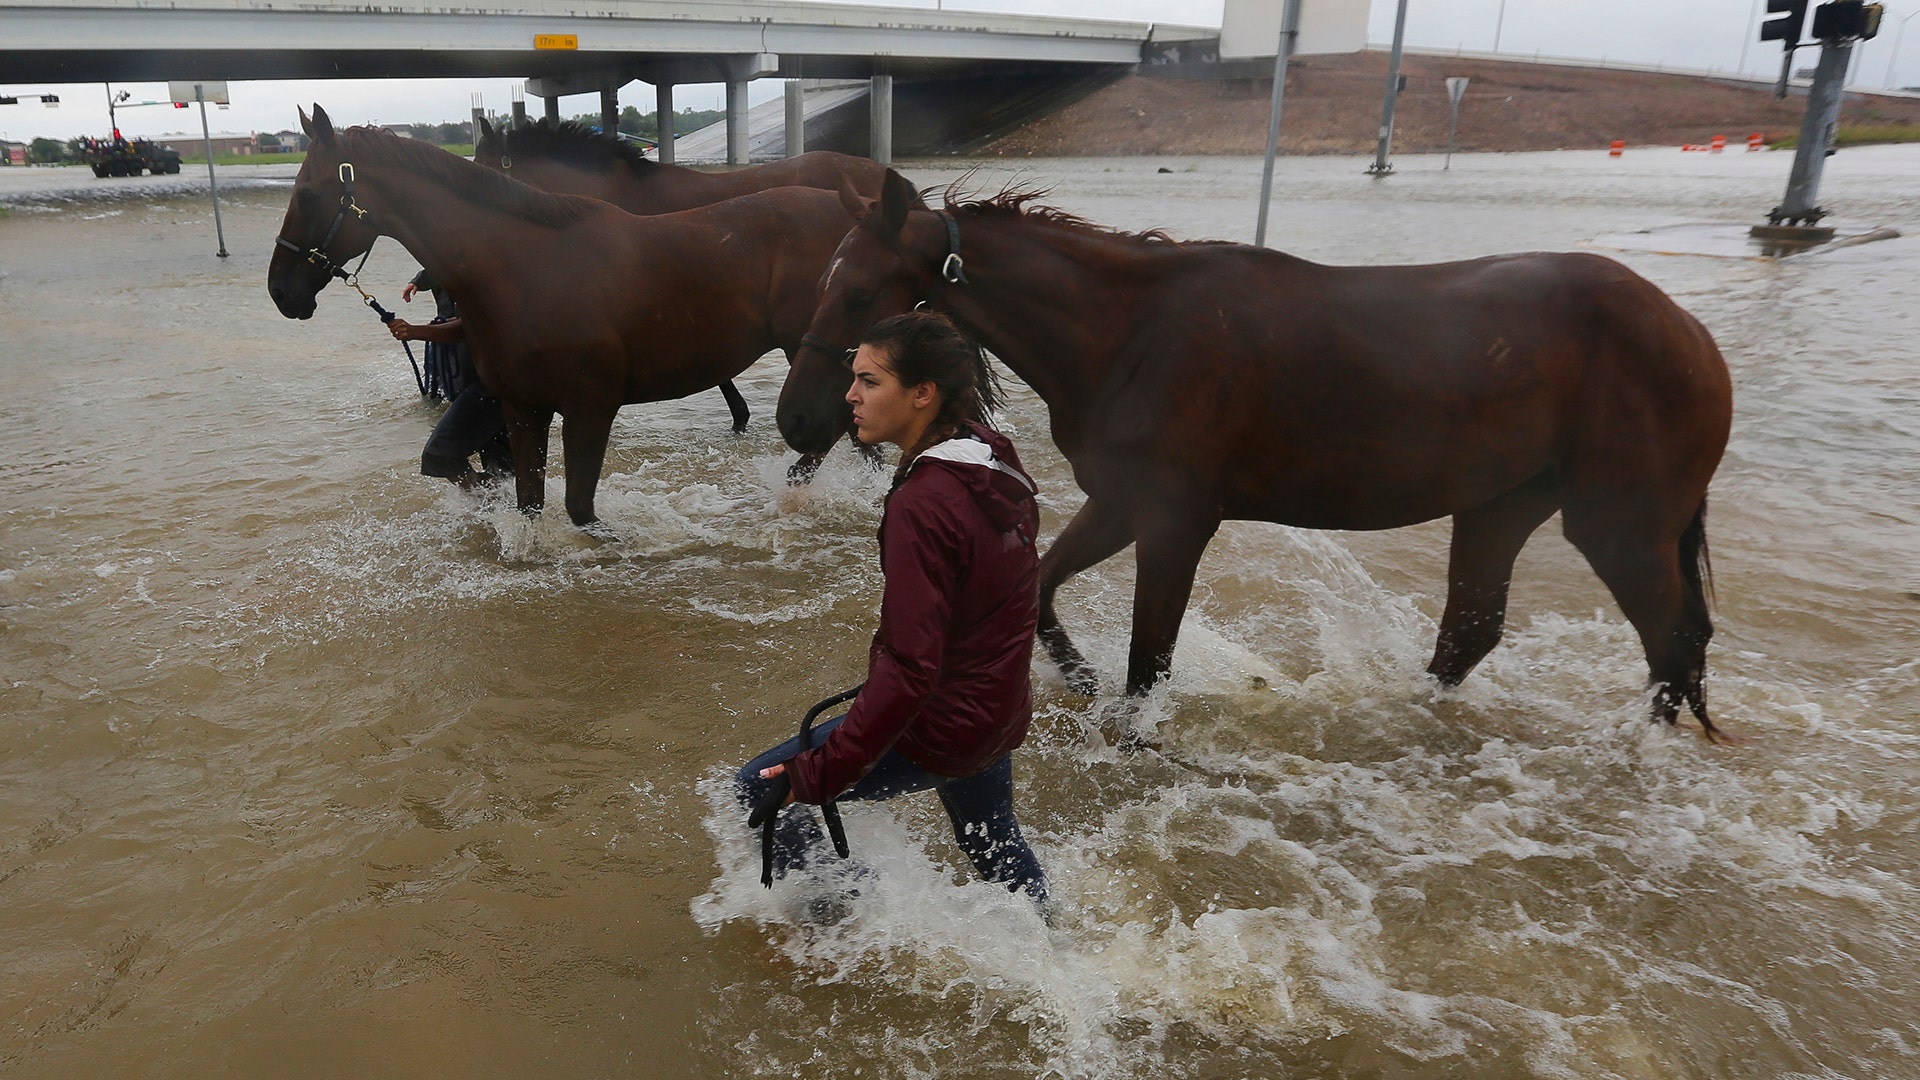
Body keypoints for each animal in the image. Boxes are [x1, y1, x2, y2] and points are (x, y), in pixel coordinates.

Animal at [267, 104, 857, 527]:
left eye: (308, 193)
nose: (280, 292)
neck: (524, 267)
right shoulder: (521, 405)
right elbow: (528, 501)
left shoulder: (590, 406)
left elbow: (579, 509)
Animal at [777, 171, 1734, 739]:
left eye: (859, 293)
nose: (798, 418)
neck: (1129, 337)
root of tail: (1690, 333)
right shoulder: (1122, 504)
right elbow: (1044, 588)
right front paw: (1076, 676)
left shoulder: (1173, 522)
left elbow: (1148, 661)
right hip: (1501, 504)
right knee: (1472, 633)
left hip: (1619, 526)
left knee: (1672, 641)